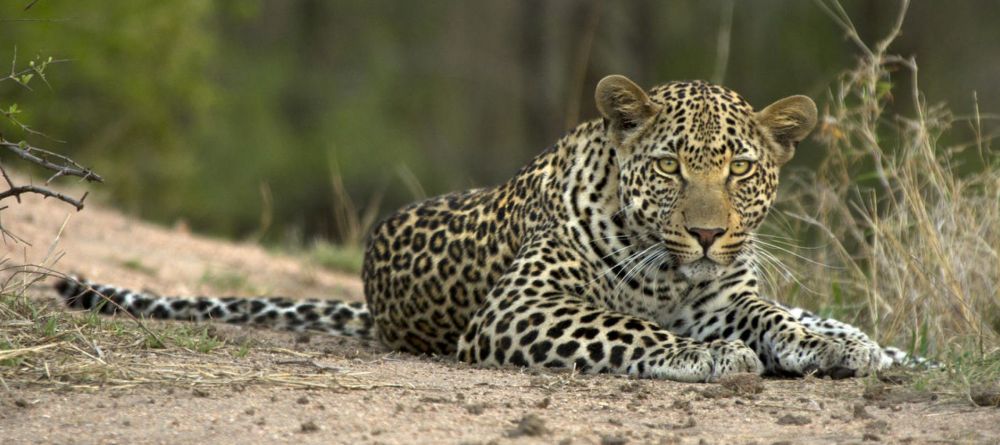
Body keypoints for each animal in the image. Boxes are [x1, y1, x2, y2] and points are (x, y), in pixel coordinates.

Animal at [52, 74, 916, 380]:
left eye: (739, 167)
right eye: (670, 166)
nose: (707, 234)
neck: (673, 272)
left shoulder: (727, 294)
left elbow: (771, 313)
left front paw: (829, 345)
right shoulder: (523, 308)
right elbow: (632, 327)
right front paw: (710, 355)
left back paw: (879, 344)